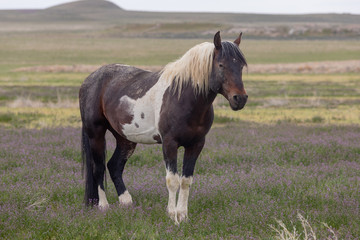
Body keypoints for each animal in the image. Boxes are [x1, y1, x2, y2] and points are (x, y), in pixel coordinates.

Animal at [79, 31, 248, 224]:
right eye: (221, 65)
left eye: (241, 66)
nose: (240, 99)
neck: (183, 97)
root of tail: (89, 80)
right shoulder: (169, 143)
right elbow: (172, 180)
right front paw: (173, 217)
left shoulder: (196, 144)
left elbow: (186, 180)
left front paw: (183, 216)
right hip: (96, 134)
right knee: (98, 167)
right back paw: (103, 206)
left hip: (124, 138)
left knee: (114, 166)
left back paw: (126, 203)